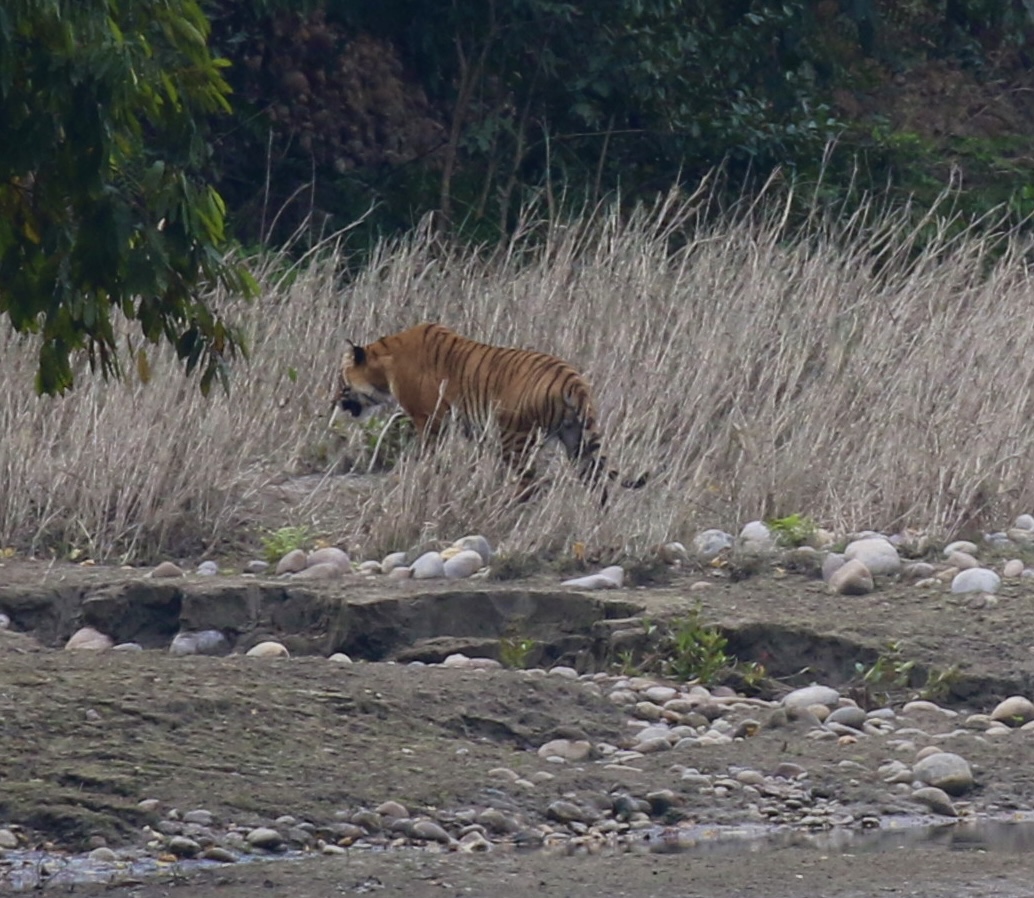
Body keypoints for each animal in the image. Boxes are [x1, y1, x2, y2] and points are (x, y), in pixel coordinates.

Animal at [332, 322, 647, 500]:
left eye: (341, 381)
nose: (334, 400)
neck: (383, 366)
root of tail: (572, 379)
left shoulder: (428, 419)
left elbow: (429, 453)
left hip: (516, 437)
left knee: (530, 484)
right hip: (577, 439)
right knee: (597, 482)